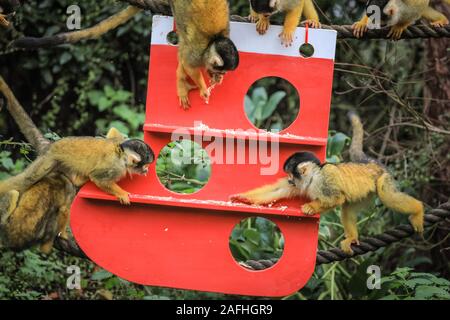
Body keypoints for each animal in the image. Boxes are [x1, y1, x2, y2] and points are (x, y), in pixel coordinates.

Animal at [0, 127, 155, 205]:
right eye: (144, 165)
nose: (147, 170)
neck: (122, 156)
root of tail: (51, 147)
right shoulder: (115, 167)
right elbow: (99, 178)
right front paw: (122, 193)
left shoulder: (118, 140)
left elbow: (113, 132)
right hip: (49, 160)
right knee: (27, 179)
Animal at [230, 112, 424, 255]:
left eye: (291, 175)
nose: (290, 180)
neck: (313, 178)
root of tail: (372, 164)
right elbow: (278, 190)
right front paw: (244, 199)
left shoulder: (326, 179)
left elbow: (336, 198)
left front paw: (310, 207)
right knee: (348, 207)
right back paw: (352, 238)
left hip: (383, 179)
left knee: (386, 196)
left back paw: (418, 210)